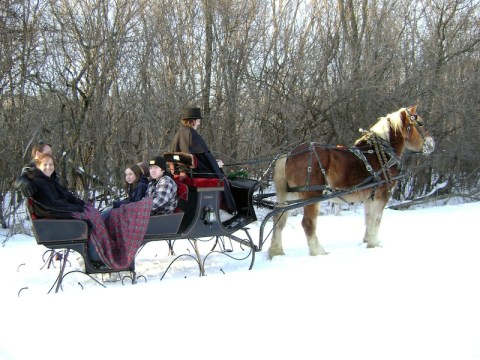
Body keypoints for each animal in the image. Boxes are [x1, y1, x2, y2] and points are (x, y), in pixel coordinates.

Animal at [268, 105, 436, 258]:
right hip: (312, 196)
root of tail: (289, 155)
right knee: (308, 223)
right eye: (420, 123)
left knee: (279, 220)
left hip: (290, 196)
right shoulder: (382, 195)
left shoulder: (370, 197)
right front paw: (374, 243)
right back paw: (318, 252)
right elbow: (376, 219)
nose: (431, 143)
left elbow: (368, 218)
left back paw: (276, 251)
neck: (380, 153)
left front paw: (367, 240)